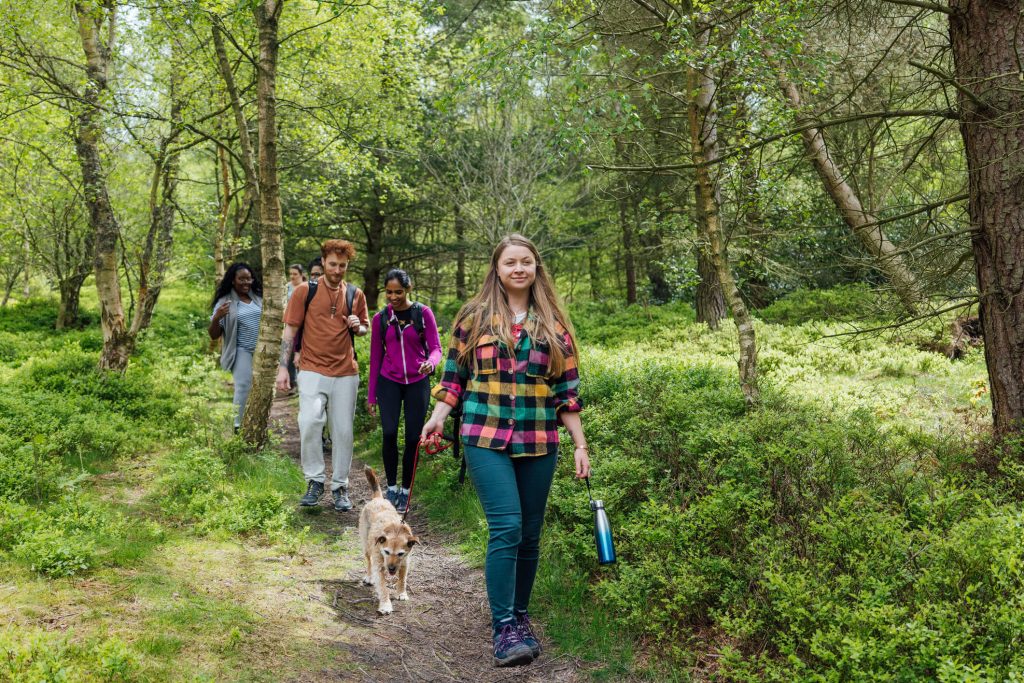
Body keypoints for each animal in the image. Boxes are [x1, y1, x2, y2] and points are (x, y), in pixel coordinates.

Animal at [358, 464, 417, 614]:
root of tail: (378, 498)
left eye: (400, 554)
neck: (395, 530)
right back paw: (369, 577)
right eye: (386, 552)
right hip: (366, 546)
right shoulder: (379, 567)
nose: (390, 568)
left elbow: (402, 579)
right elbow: (383, 588)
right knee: (368, 562)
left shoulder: (405, 563)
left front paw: (401, 593)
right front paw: (385, 605)